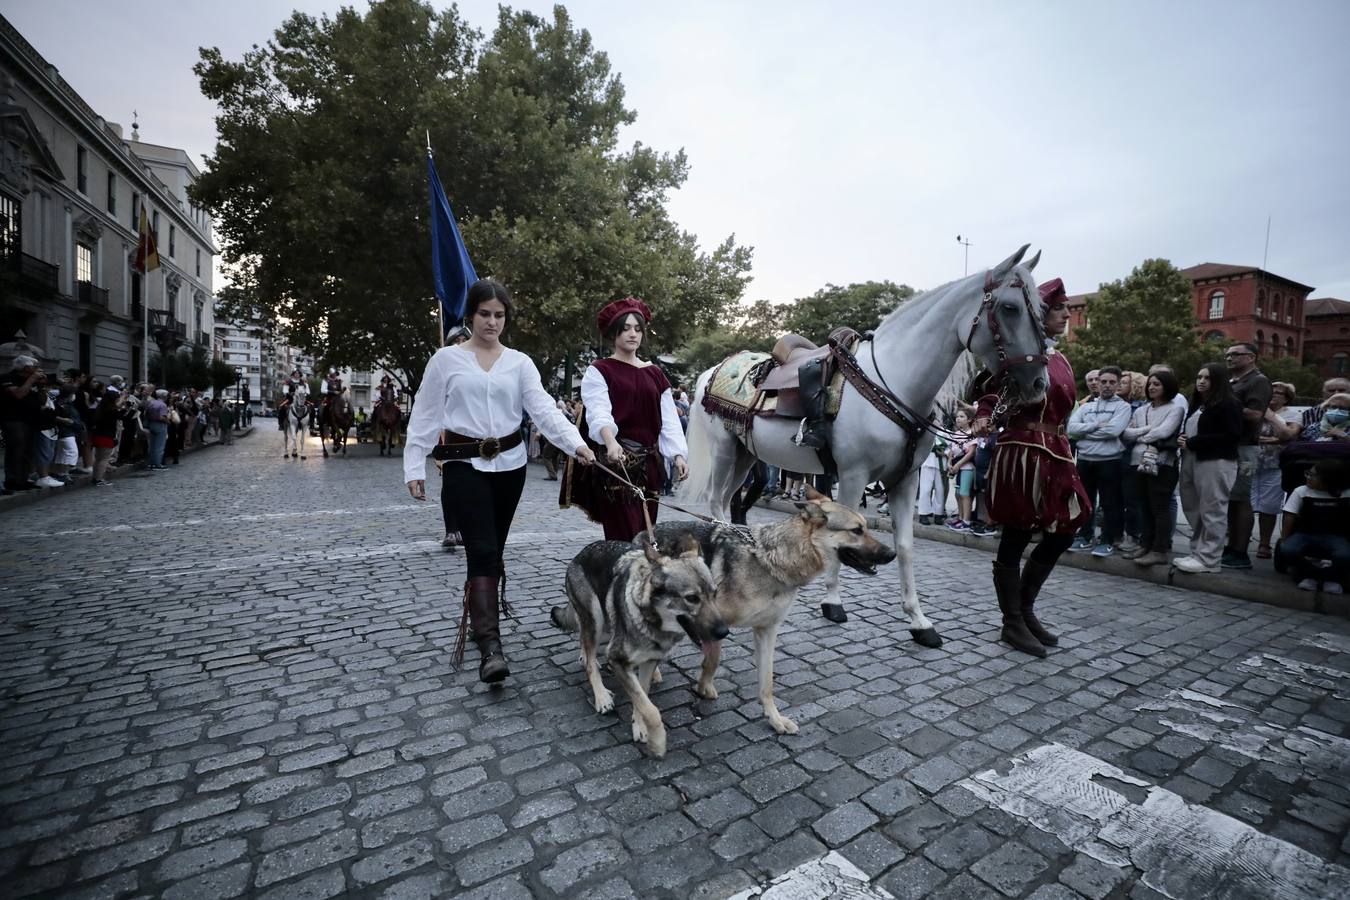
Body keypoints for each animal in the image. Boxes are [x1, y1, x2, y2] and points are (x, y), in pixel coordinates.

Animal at [548, 531, 723, 755]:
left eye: (714, 594)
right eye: (691, 598)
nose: (724, 632)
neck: (652, 623)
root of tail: (582, 552)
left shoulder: (648, 662)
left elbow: (643, 697)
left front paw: (640, 726)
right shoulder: (617, 660)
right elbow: (650, 708)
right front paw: (657, 742)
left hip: (605, 625)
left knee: (584, 641)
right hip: (596, 619)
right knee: (589, 656)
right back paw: (601, 696)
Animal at [653, 488, 896, 734]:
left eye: (865, 528)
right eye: (857, 530)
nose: (893, 554)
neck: (772, 561)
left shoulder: (767, 630)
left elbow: (767, 682)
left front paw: (774, 719)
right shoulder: (716, 626)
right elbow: (713, 659)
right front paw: (704, 687)